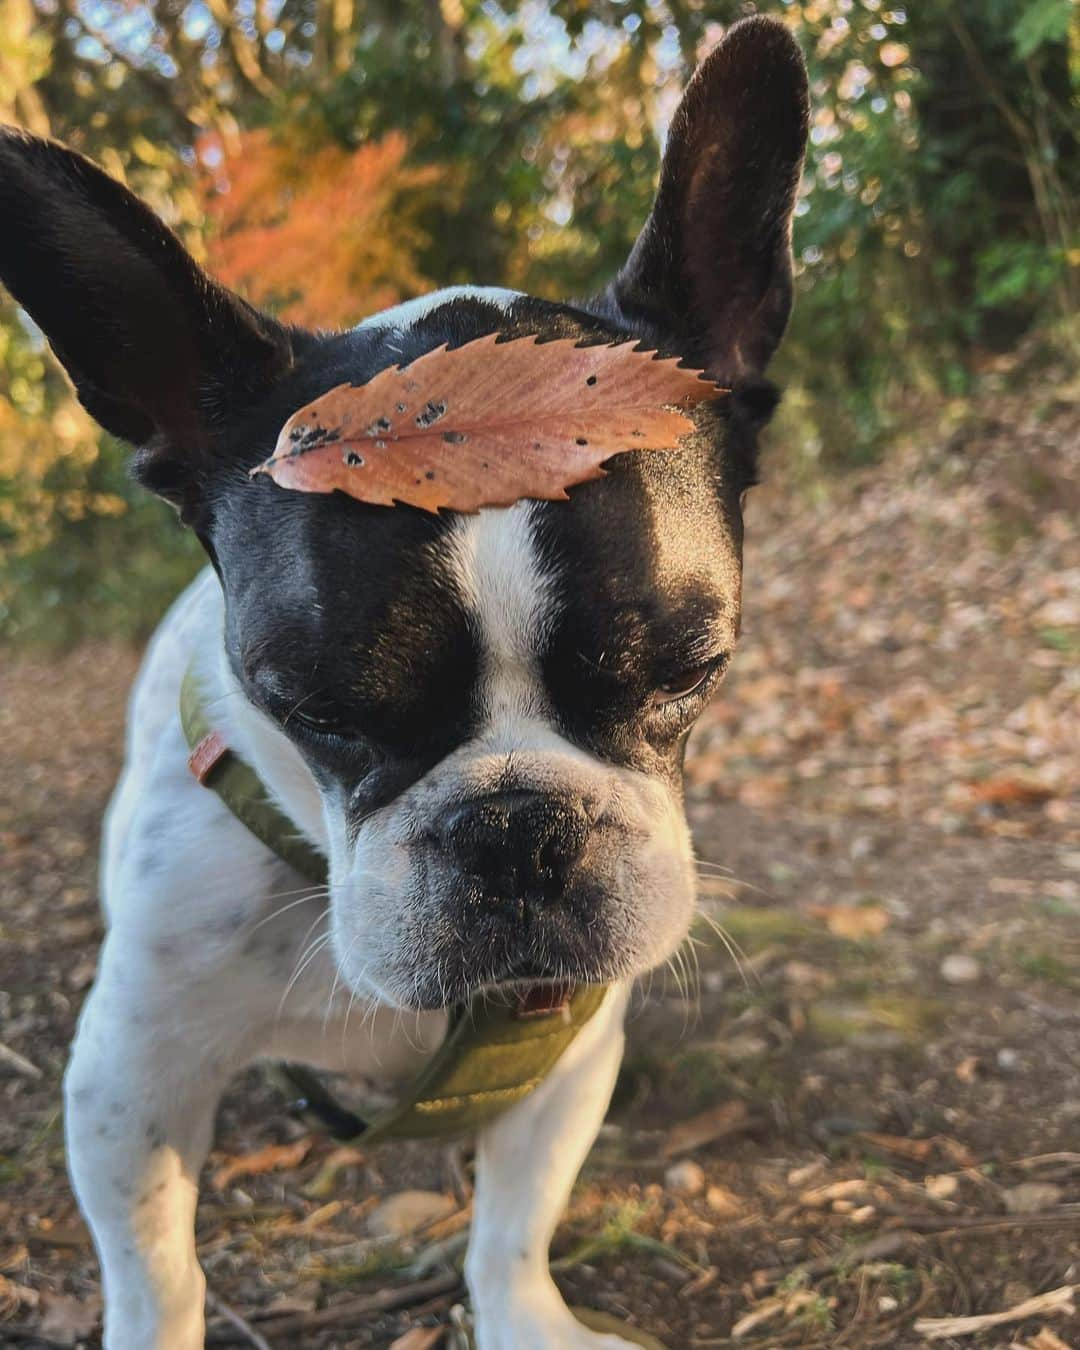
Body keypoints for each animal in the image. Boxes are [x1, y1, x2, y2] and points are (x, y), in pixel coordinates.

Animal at [0, 15, 804, 1344]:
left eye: (693, 671)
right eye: (310, 709)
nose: (520, 829)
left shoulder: (563, 1054)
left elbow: (514, 1220)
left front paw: (526, 1317)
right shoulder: (131, 1080)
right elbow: (154, 1267)